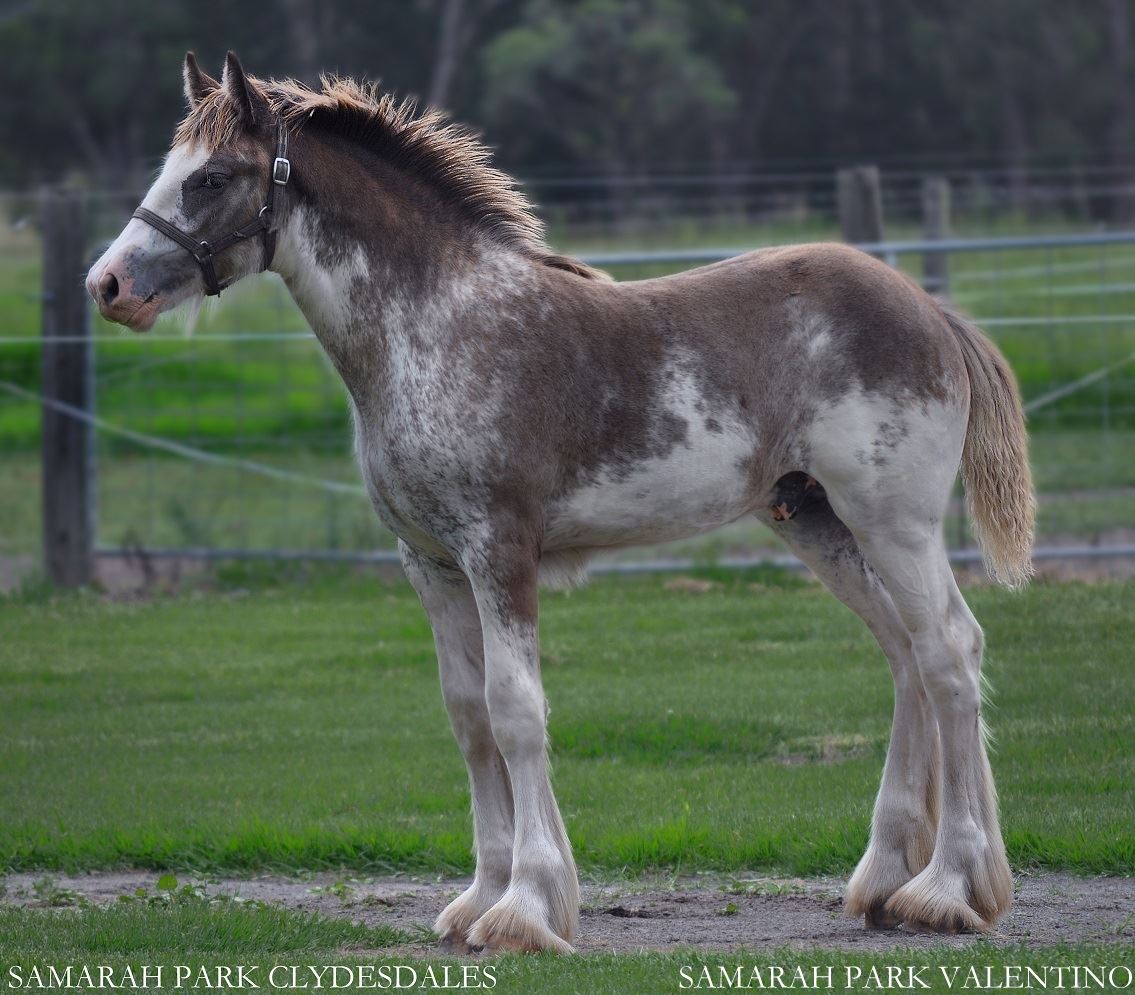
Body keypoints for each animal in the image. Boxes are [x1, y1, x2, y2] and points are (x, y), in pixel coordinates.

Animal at [90, 52, 1039, 948]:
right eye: (172, 165)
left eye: (213, 176)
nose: (107, 285)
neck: (437, 328)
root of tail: (928, 309)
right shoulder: (430, 566)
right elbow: (469, 718)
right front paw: (477, 899)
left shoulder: (498, 551)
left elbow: (516, 711)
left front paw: (526, 908)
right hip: (817, 522)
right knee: (905, 652)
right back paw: (887, 880)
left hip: (892, 523)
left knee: (948, 650)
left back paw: (947, 889)